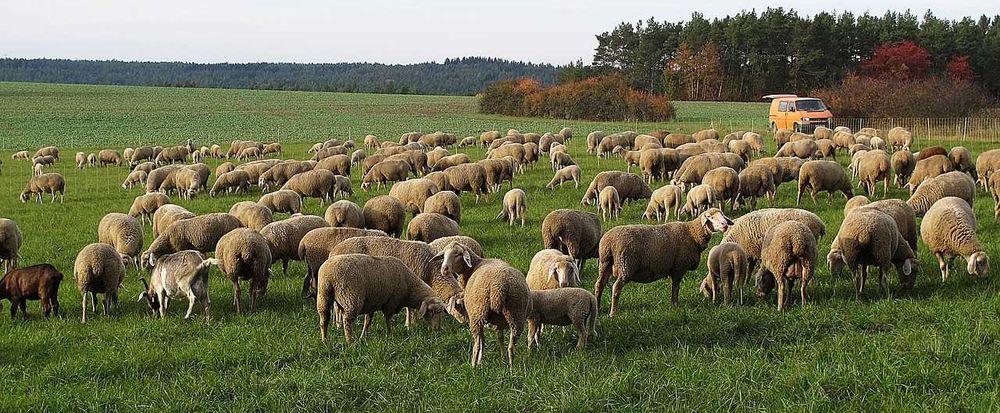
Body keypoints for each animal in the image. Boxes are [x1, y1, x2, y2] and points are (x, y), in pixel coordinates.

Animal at [316, 254, 446, 343]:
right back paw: (350, 341)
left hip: (323, 295)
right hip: (351, 297)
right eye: (432, 311)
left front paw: (364, 336)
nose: (437, 331)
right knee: (347, 321)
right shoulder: (391, 302)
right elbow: (388, 319)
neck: (409, 287)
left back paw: (324, 340)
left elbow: (367, 321)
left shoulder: (372, 303)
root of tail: (329, 274)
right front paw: (390, 334)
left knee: (324, 319)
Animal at [596, 208, 732, 315]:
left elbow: (674, 286)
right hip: (626, 265)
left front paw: (673, 304)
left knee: (599, 284)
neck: (692, 233)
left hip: (605, 263)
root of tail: (608, 241)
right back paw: (613, 312)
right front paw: (675, 305)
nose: (725, 224)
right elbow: (676, 287)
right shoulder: (679, 267)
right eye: (710, 217)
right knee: (616, 287)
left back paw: (597, 306)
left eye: (722, 215)